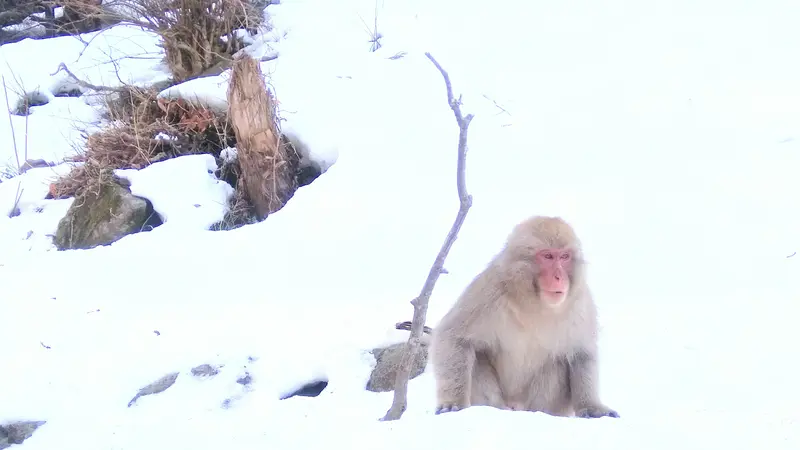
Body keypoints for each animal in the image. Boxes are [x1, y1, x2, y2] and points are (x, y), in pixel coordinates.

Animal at [432, 215, 620, 418]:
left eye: (564, 257)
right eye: (547, 256)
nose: (559, 277)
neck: (535, 303)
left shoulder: (580, 303)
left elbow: (581, 353)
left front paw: (593, 408)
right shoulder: (489, 291)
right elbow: (454, 337)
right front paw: (453, 402)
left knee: (557, 363)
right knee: (476, 357)